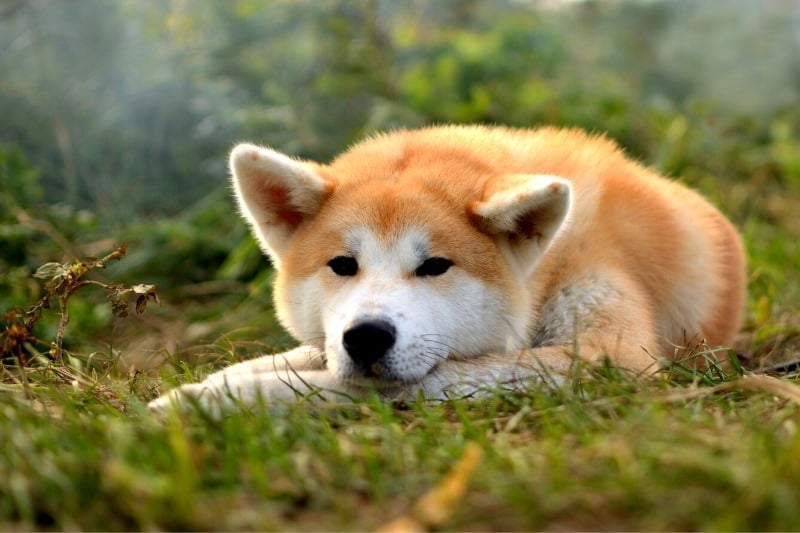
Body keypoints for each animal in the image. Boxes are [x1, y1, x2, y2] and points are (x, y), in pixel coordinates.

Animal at [147, 127, 748, 414]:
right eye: (343, 265)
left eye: (435, 266)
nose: (366, 337)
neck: (545, 271)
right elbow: (301, 360)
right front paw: (220, 380)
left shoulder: (612, 357)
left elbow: (387, 384)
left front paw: (207, 403)